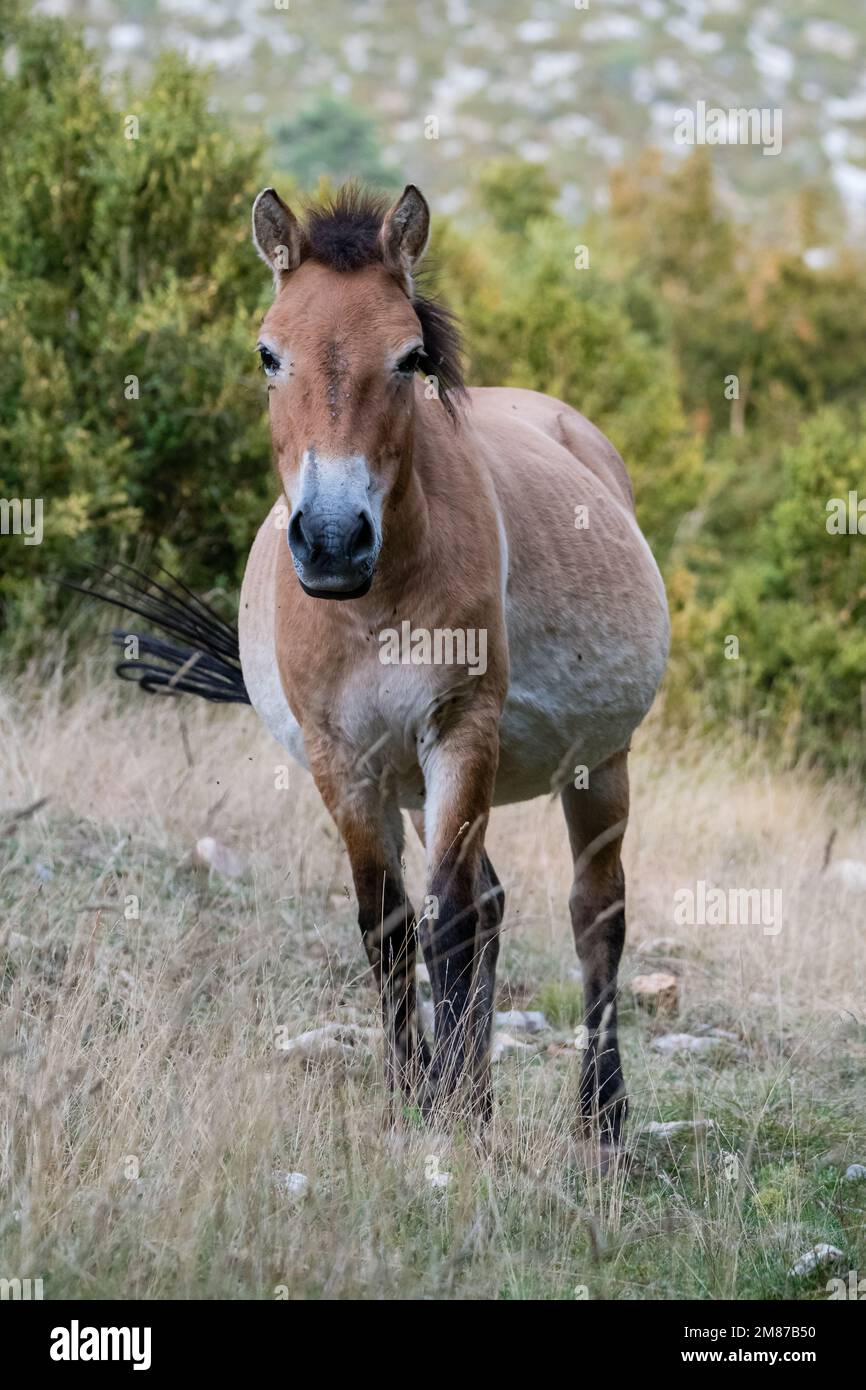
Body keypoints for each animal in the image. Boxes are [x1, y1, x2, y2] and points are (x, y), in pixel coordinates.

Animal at [84, 176, 670, 1150]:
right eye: (268, 354)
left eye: (409, 358)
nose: (330, 542)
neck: (376, 602)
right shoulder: (345, 761)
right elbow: (388, 924)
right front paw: (418, 1094)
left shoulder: (459, 734)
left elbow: (449, 925)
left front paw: (455, 1112)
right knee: (492, 903)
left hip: (598, 764)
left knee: (595, 918)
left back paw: (603, 1120)